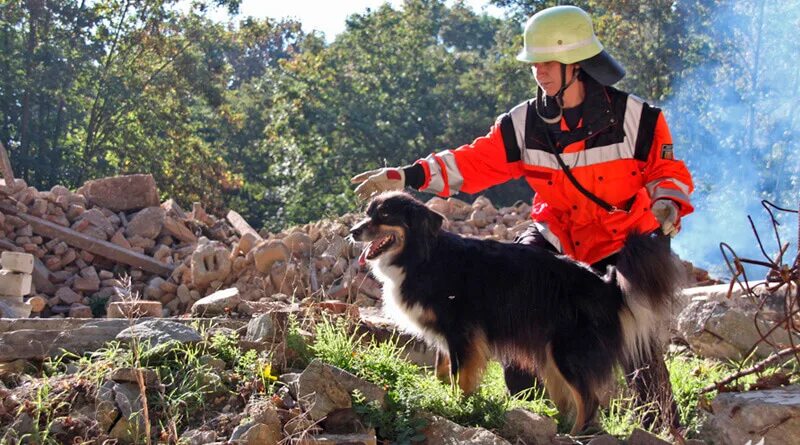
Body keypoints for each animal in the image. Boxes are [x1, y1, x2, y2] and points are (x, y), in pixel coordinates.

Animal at [350, 190, 680, 430]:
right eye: (368, 213)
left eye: (385, 215)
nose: (353, 231)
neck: (422, 256)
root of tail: (606, 284)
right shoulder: (448, 337)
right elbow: (443, 372)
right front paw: (442, 395)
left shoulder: (462, 334)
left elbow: (460, 377)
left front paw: (458, 406)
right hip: (552, 361)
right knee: (570, 402)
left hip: (569, 355)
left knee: (588, 402)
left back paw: (575, 435)